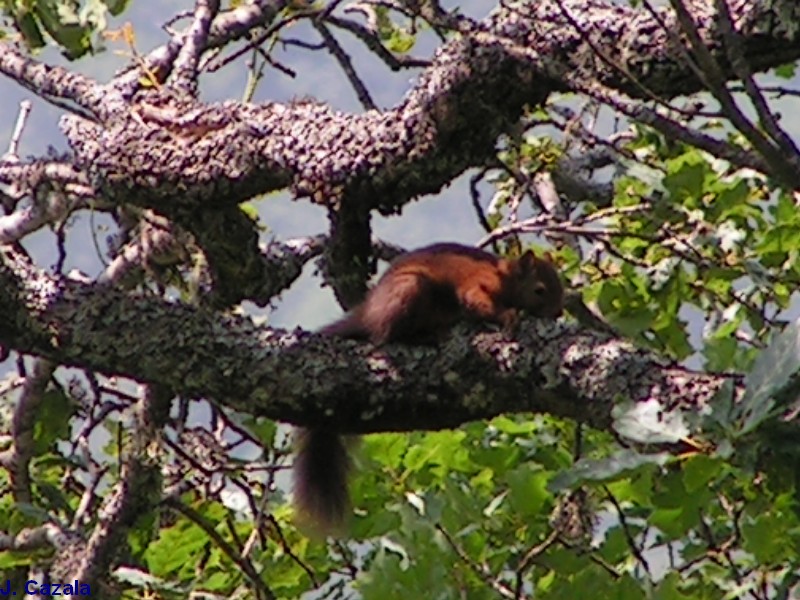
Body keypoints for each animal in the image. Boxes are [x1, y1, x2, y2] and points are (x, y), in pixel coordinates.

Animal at [292, 243, 564, 536]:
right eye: (540, 290)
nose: (558, 313)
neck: (505, 277)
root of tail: (368, 313)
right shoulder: (478, 284)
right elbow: (478, 302)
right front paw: (509, 316)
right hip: (411, 290)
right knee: (387, 336)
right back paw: (425, 336)